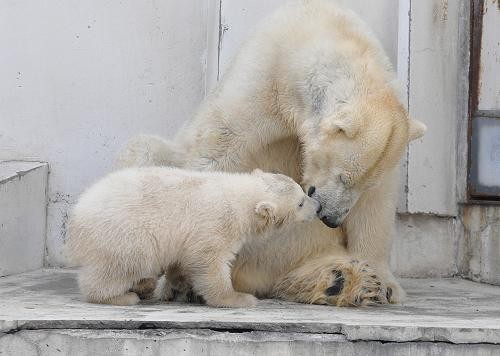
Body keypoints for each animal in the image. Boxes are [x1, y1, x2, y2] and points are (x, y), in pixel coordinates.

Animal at [115, 0, 424, 306]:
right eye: (343, 177)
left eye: (360, 183)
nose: (332, 219)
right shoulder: (265, 78)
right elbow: (217, 150)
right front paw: (178, 277)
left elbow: (377, 206)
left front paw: (386, 285)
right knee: (144, 151)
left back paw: (342, 282)